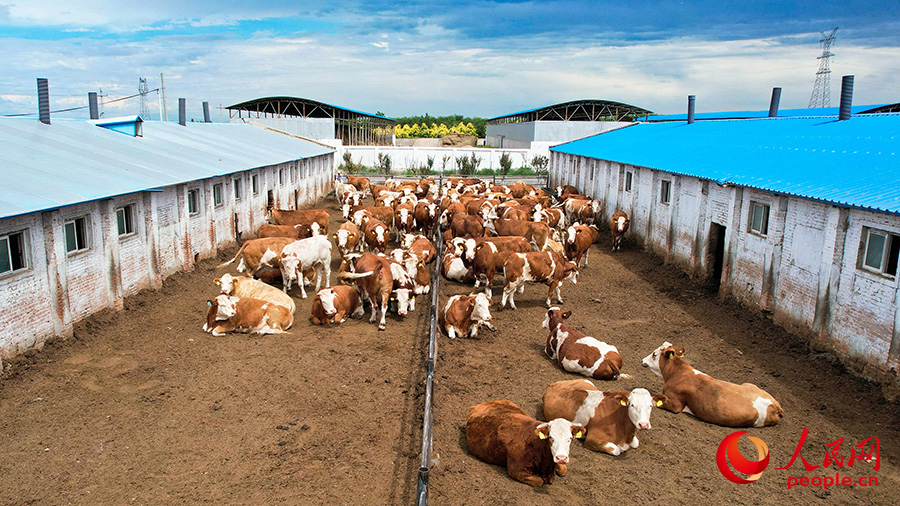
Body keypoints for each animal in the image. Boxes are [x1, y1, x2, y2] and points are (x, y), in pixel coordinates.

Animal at [640, 340, 788, 426]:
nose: (642, 360)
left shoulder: (676, 404)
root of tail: (776, 407)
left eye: (654, 354)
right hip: (749, 384)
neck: (678, 373)